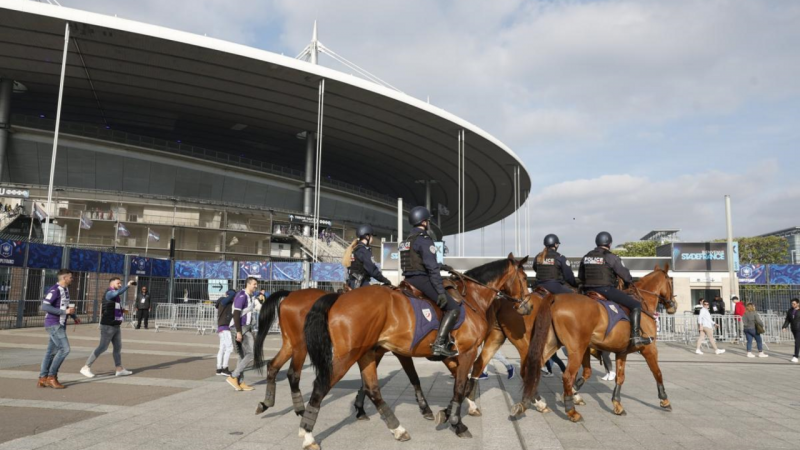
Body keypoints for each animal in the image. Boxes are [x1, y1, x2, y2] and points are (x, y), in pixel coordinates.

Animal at [253, 290, 434, 420]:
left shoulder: (375, 351)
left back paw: (267, 403)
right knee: (293, 374)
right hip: (300, 345)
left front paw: (360, 407)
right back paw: (299, 409)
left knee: (274, 365)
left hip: (290, 344)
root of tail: (291, 294)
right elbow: (410, 376)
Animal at [296, 255, 536, 448]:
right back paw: (307, 436)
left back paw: (397, 428)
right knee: (321, 386)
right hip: (346, 357)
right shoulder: (466, 352)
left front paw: (449, 412)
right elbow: (459, 386)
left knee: (372, 389)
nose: (528, 307)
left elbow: (459, 382)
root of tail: (339, 297)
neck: (471, 299)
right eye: (525, 279)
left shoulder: (451, 355)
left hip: (366, 354)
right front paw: (457, 423)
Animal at [512, 264, 676, 422]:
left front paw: (616, 404)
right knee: (567, 376)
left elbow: (617, 377)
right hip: (576, 350)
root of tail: (555, 299)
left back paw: (527, 403)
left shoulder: (620, 352)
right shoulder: (649, 349)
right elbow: (657, 373)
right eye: (670, 282)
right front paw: (664, 400)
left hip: (553, 344)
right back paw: (571, 412)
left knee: (533, 368)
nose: (673, 305)